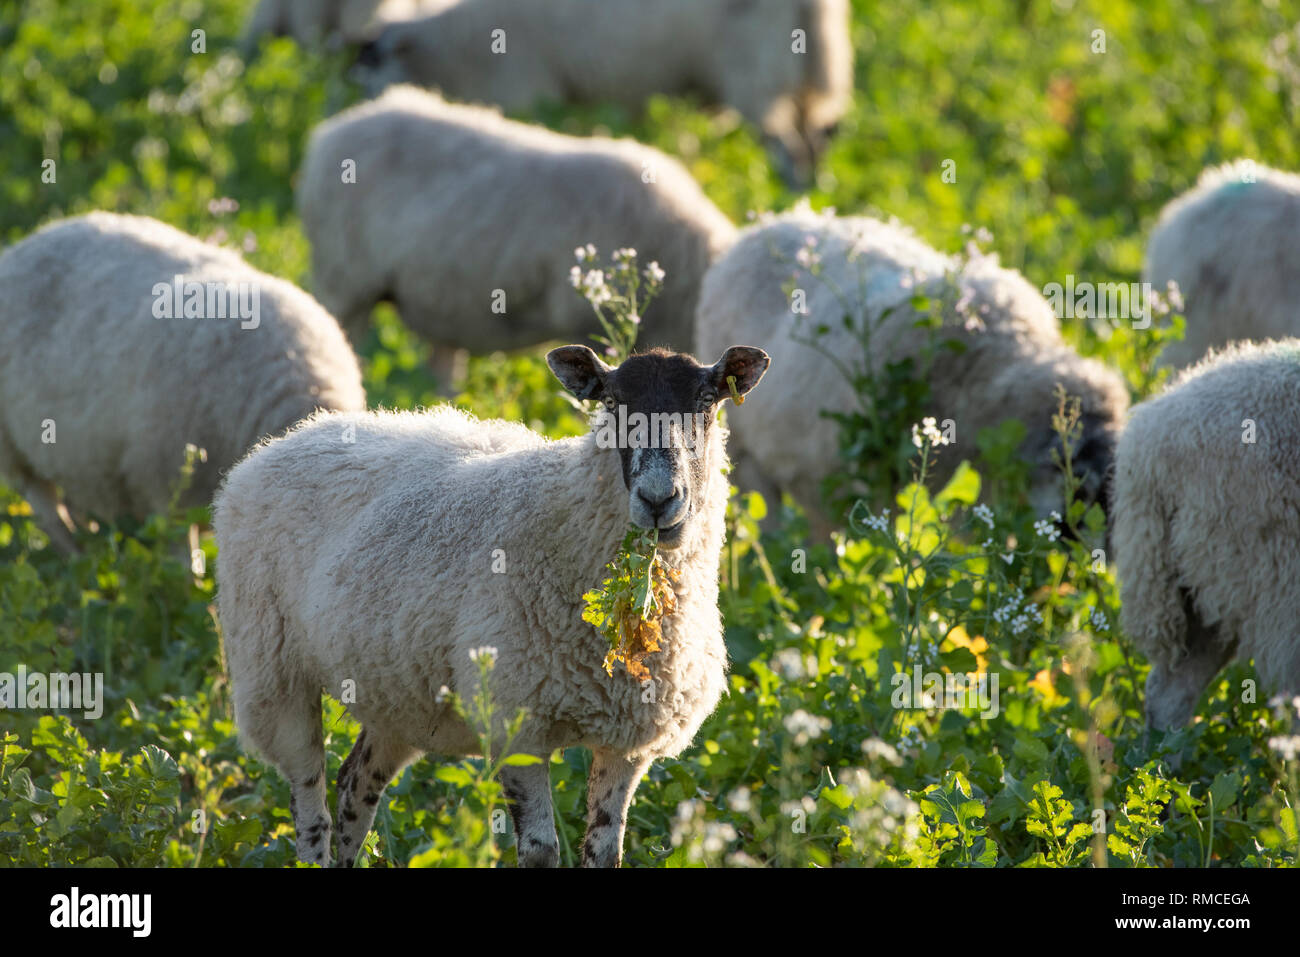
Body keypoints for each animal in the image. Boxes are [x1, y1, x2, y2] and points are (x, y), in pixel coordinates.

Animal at [0, 212, 365, 554]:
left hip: (79, 456)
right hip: (15, 449)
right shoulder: (168, 492)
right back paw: (77, 556)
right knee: (46, 508)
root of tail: (34, 238)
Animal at [213, 343, 770, 867]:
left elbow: (604, 851)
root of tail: (291, 436)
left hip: (397, 694)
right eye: (611, 403)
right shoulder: (515, 727)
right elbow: (541, 850)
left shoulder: (627, 741)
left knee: (355, 786)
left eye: (707, 401)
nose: (659, 500)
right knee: (310, 799)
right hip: (272, 670)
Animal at [353, 0, 853, 187]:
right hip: (811, 68)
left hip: (757, 72)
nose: (360, 105)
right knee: (816, 142)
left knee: (786, 148)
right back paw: (819, 190)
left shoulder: (524, 87)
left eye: (374, 62)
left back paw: (790, 192)